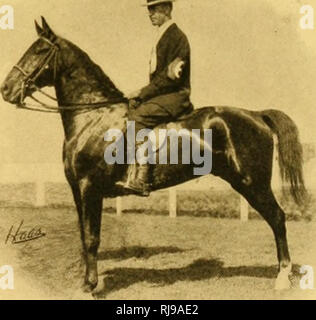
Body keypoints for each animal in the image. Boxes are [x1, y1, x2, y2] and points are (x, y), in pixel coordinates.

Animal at [0, 16, 306, 294]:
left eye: (39, 50)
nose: (6, 89)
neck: (93, 116)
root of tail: (256, 114)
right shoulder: (77, 190)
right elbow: (83, 236)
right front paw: (86, 281)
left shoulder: (90, 188)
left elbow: (92, 237)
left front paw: (92, 286)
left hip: (253, 183)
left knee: (278, 218)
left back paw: (282, 277)